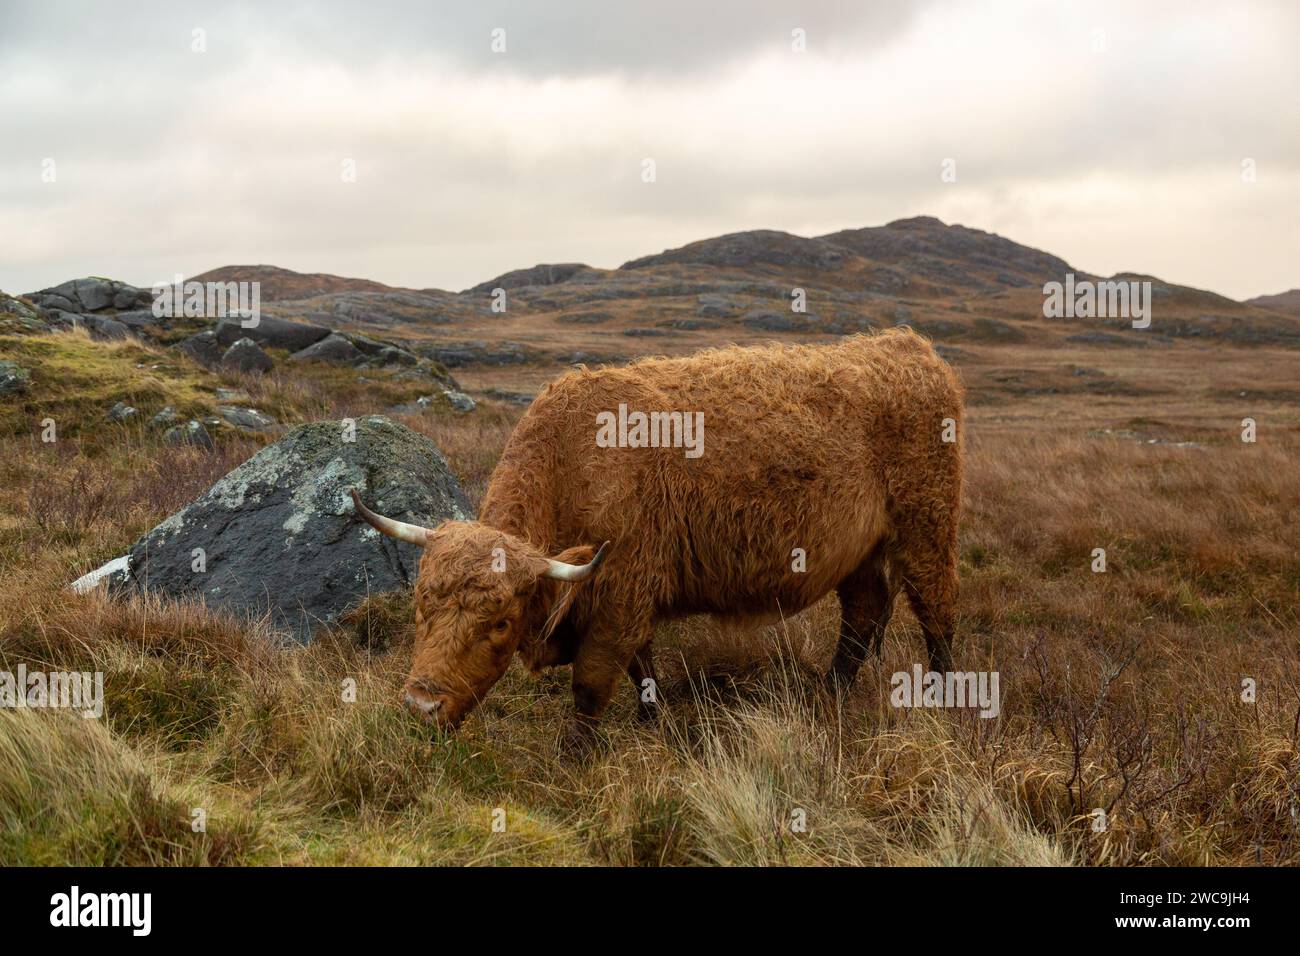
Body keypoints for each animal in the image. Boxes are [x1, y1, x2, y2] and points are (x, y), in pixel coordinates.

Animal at [352, 328, 964, 751]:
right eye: (421, 605)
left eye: (500, 622)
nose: (420, 705)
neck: (571, 460)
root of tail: (907, 346)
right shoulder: (628, 593)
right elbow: (641, 664)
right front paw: (652, 719)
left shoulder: (621, 590)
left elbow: (592, 682)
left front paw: (574, 756)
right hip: (857, 551)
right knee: (863, 613)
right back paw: (829, 696)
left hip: (927, 527)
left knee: (936, 612)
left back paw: (942, 700)